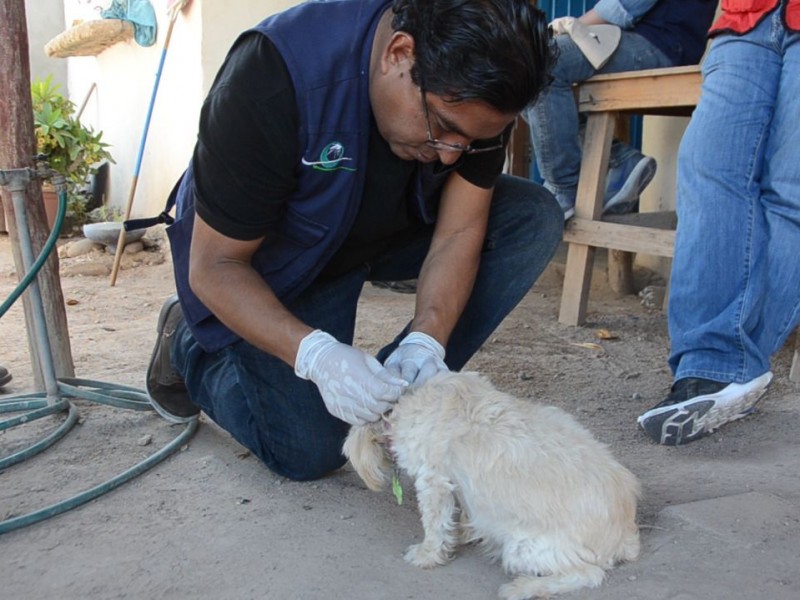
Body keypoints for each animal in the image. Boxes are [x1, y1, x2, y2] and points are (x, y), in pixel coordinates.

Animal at [340, 372, 640, 596]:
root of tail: (625, 534)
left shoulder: (432, 482)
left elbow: (435, 525)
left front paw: (427, 555)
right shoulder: (454, 485)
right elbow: (460, 514)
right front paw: (462, 534)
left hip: (522, 547)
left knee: (590, 573)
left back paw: (525, 587)